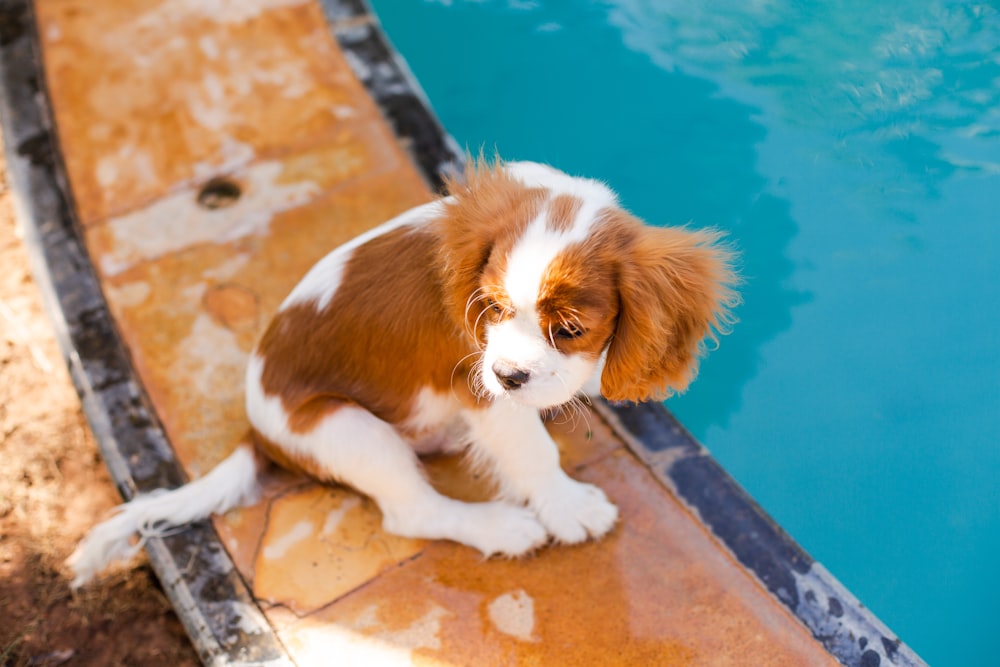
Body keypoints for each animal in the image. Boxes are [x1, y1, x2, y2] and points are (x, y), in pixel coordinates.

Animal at [68, 159, 736, 588]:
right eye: (492, 309)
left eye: (570, 329)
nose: (509, 374)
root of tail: (256, 433)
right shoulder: (481, 388)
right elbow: (531, 452)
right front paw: (565, 505)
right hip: (344, 427)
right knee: (412, 512)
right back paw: (497, 526)